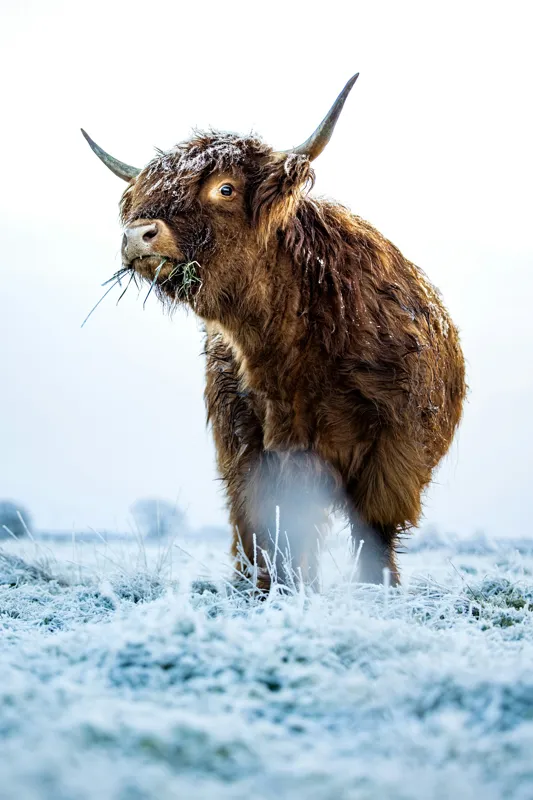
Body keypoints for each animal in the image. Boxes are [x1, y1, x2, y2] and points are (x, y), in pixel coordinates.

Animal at [82, 74, 466, 590]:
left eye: (224, 188)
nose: (137, 234)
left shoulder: (392, 452)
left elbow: (373, 531)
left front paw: (376, 591)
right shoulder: (247, 448)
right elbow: (264, 530)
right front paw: (268, 591)